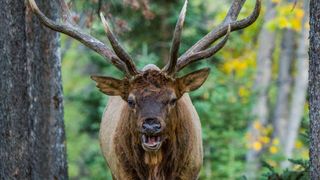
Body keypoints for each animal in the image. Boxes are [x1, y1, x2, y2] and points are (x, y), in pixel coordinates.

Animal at [28, 0, 262, 179]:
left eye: (173, 99)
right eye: (131, 100)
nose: (151, 126)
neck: (155, 169)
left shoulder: (190, 172)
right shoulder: (122, 173)